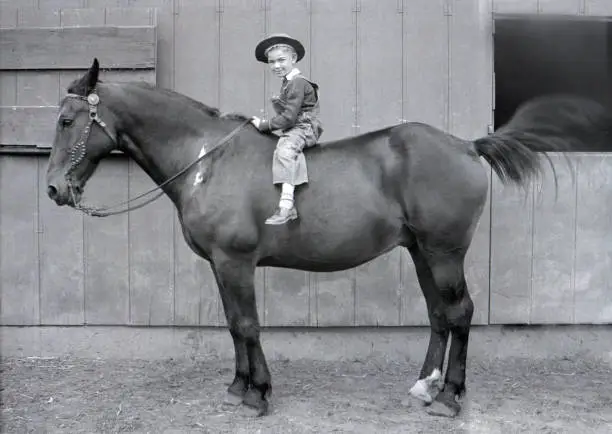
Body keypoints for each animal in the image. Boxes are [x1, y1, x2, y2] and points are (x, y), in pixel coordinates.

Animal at [45, 59, 580, 418]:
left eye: (67, 121)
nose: (54, 189)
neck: (206, 159)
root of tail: (466, 146)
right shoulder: (220, 265)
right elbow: (233, 325)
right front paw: (238, 387)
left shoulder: (235, 262)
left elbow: (248, 325)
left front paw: (257, 394)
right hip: (421, 253)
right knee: (438, 315)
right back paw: (424, 387)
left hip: (445, 253)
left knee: (460, 312)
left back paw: (449, 397)